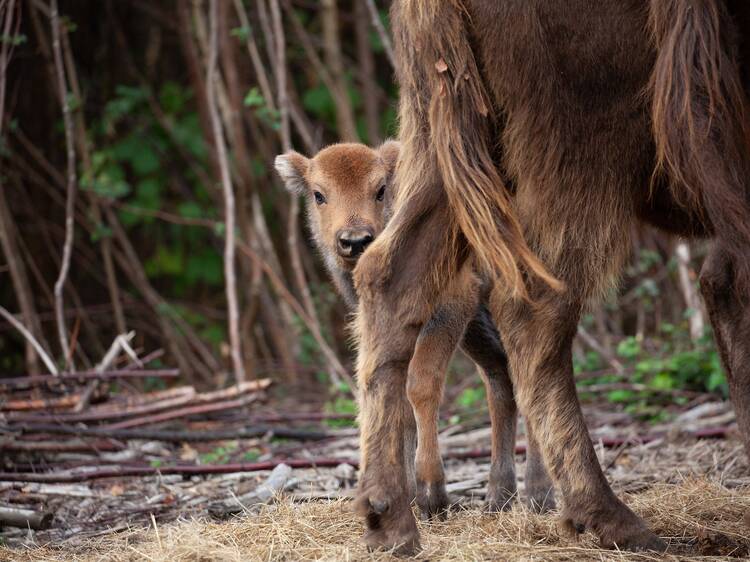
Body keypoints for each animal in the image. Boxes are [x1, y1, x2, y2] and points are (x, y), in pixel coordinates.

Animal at [352, 0, 750, 552]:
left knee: (389, 277)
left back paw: (390, 522)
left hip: (447, 144)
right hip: (583, 151)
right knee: (535, 308)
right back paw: (612, 519)